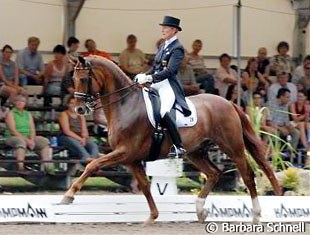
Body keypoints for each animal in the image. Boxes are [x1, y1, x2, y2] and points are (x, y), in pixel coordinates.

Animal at [59, 56, 282, 224]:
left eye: (84, 78)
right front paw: (152, 217)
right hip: (196, 151)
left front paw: (68, 196)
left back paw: (256, 215)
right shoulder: (131, 159)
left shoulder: (125, 152)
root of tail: (229, 103)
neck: (125, 105)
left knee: (248, 176)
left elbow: (92, 165)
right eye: (73, 77)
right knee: (214, 173)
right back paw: (200, 211)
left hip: (232, 147)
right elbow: (145, 186)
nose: (79, 109)